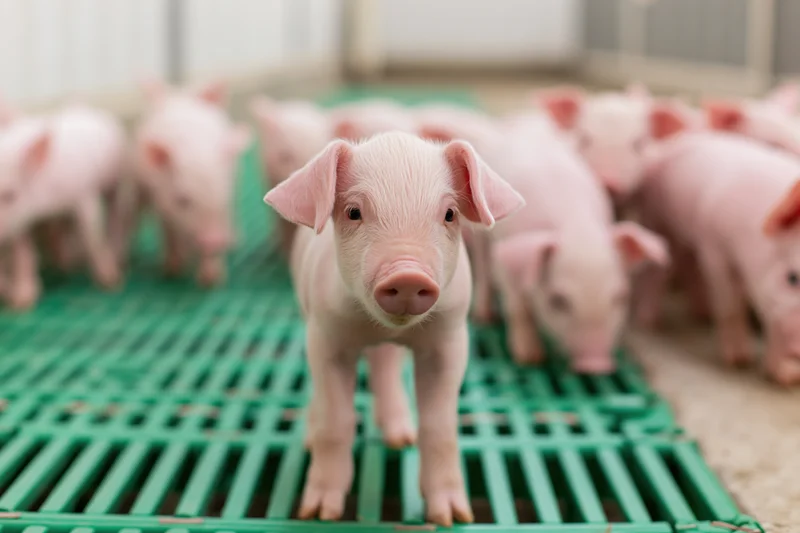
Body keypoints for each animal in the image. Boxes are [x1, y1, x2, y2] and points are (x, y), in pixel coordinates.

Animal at [0, 105, 126, 309]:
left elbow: (91, 236)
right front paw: (22, 302)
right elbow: (23, 254)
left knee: (115, 209)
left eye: (10, 195)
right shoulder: (20, 222)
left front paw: (110, 282)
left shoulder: (84, 194)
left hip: (116, 179)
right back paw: (62, 261)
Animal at [130, 80, 251, 287]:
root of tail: (181, 97)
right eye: (182, 200)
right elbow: (169, 233)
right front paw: (172, 270)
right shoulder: (161, 201)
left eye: (222, 194)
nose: (214, 239)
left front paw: (211, 280)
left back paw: (234, 242)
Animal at [264, 131, 524, 525]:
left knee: (385, 366)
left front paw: (452, 517)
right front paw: (320, 513)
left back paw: (399, 438)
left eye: (449, 214)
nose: (407, 275)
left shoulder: (449, 340)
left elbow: (439, 425)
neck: (381, 328)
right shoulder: (325, 337)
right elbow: (336, 420)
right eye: (353, 212)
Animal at [420, 113, 669, 373]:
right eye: (557, 300)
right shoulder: (506, 262)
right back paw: (485, 316)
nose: (595, 365)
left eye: (620, 297)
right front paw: (530, 358)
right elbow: (518, 306)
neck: (577, 228)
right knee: (483, 265)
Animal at [636, 107, 800, 385]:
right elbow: (730, 304)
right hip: (656, 217)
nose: (796, 351)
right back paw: (653, 323)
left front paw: (786, 377)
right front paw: (738, 361)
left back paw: (702, 315)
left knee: (688, 265)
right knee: (659, 270)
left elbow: (771, 321)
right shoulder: (714, 246)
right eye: (792, 278)